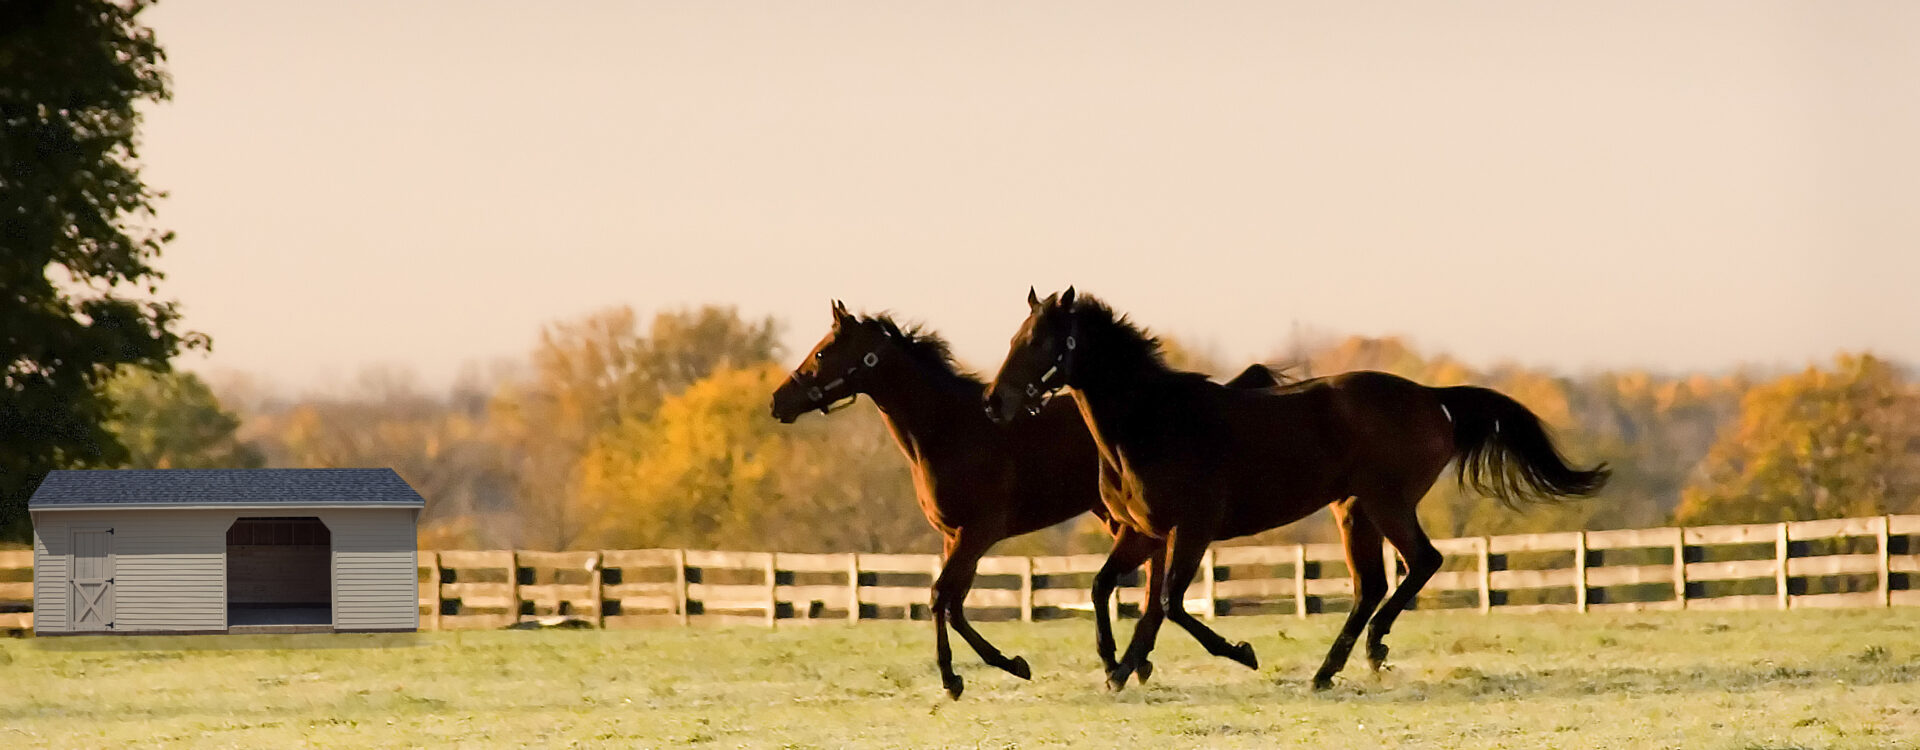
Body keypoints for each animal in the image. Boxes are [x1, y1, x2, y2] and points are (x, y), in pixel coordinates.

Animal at [764, 303, 1274, 702]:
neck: (948, 430)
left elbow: (941, 598)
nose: (777, 401)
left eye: (822, 352)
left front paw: (964, 676)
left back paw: (1134, 663)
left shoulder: (977, 534)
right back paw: (1138, 662)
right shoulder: (954, 538)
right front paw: (1000, 667)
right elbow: (951, 603)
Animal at [990, 287, 1605, 694]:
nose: (996, 403)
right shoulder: (1143, 532)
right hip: (1353, 511)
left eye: (1041, 341)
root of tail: (1433, 398)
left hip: (1385, 503)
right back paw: (1329, 670)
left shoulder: (1192, 529)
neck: (1150, 422)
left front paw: (1239, 653)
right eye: (1015, 337)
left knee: (1421, 563)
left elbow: (1169, 602)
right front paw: (1116, 664)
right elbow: (1105, 589)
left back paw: (1371, 650)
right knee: (1372, 584)